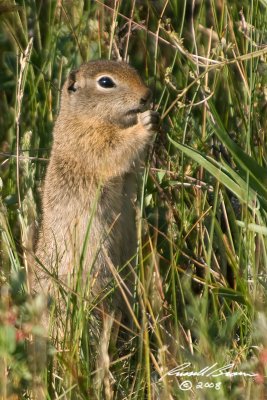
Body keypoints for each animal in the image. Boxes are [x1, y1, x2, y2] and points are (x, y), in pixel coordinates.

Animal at [33, 58, 159, 332]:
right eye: (105, 82)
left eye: (133, 69)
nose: (147, 95)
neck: (81, 117)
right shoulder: (90, 141)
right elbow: (114, 149)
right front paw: (144, 124)